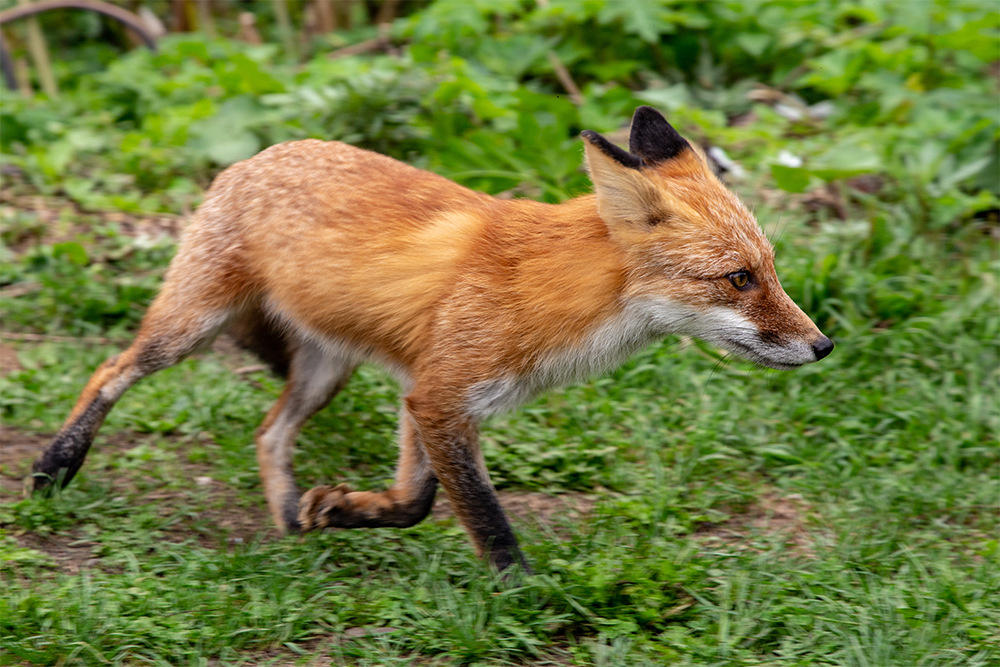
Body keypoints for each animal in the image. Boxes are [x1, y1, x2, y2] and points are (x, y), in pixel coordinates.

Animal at [29, 107, 828, 572]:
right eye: (737, 279)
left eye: (770, 269)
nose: (822, 347)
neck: (552, 292)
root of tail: (257, 155)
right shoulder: (442, 395)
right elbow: (482, 515)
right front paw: (520, 592)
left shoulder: (427, 392)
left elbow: (416, 499)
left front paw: (343, 510)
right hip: (189, 327)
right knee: (110, 367)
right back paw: (55, 464)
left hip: (327, 372)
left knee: (268, 430)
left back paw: (290, 516)